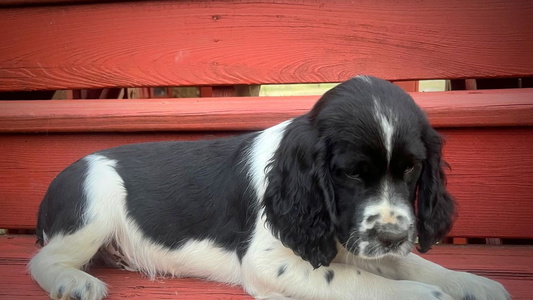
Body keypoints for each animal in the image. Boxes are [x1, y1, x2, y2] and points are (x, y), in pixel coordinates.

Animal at [28, 76, 508, 298]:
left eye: (412, 170)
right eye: (352, 173)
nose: (392, 236)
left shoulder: (364, 242)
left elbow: (414, 264)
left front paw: (473, 284)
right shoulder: (268, 262)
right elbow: (356, 280)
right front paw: (425, 295)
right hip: (94, 203)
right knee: (42, 260)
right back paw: (74, 282)